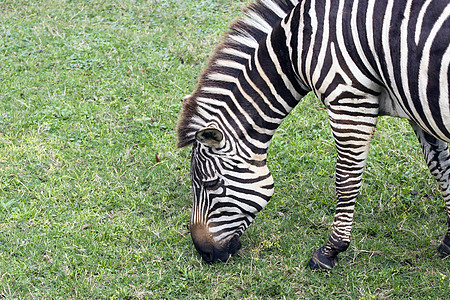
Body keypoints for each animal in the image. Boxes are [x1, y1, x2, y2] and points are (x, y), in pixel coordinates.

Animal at [177, 0, 450, 270]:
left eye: (211, 184)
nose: (204, 253)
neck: (294, 49)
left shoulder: (348, 99)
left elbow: (346, 180)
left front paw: (329, 251)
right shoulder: (416, 105)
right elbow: (440, 169)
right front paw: (448, 240)